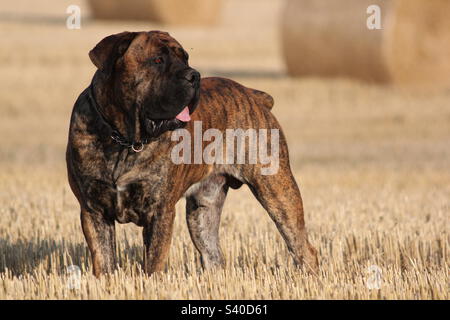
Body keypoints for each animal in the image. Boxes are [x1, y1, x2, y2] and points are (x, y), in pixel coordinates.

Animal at [67, 30, 320, 276]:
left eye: (185, 58)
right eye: (157, 60)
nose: (194, 75)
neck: (125, 141)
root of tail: (253, 95)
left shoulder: (160, 212)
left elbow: (152, 266)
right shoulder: (93, 212)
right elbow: (104, 262)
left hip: (277, 191)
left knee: (303, 248)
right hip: (201, 213)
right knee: (213, 255)